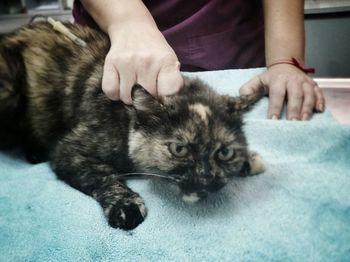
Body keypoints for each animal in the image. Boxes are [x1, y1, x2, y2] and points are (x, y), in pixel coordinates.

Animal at [0, 21, 264, 229]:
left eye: (225, 153)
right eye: (178, 149)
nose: (206, 178)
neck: (127, 119)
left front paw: (249, 161)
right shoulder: (68, 150)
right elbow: (102, 175)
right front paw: (125, 205)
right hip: (9, 86)